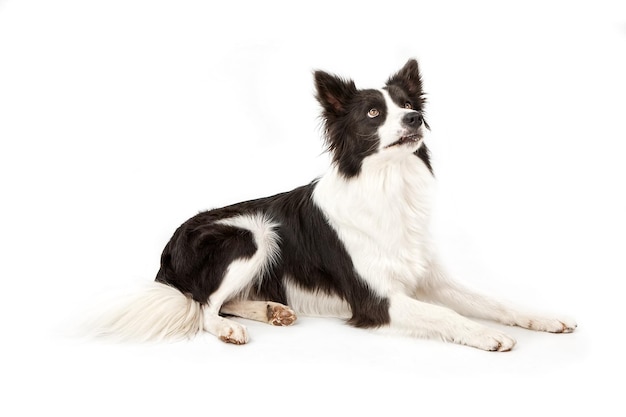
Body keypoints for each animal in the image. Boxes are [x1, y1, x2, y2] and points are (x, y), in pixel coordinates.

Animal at [98, 59, 576, 352]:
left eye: (407, 104)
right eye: (373, 113)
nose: (415, 119)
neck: (388, 185)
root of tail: (169, 247)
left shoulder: (431, 279)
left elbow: (495, 302)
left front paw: (544, 319)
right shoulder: (376, 299)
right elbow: (442, 314)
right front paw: (486, 334)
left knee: (222, 300)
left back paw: (271, 309)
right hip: (254, 231)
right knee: (203, 307)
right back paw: (232, 327)